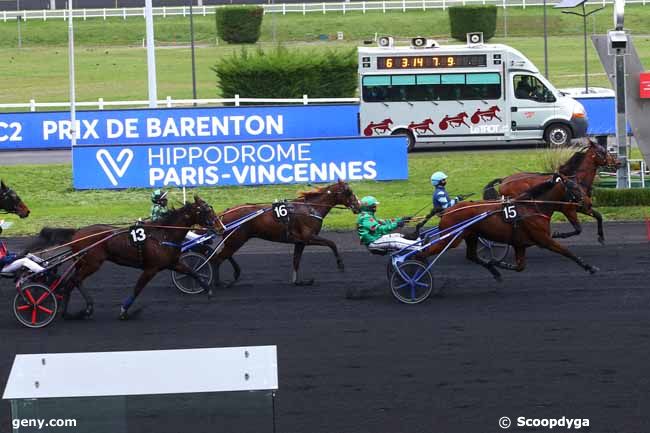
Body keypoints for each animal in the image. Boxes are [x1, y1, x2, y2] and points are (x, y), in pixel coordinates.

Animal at [31, 196, 218, 318]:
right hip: (92, 263)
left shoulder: (172, 262)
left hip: (82, 262)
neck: (164, 234)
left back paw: (83, 308)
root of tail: (77, 233)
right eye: (207, 211)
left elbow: (192, 271)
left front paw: (208, 290)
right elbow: (137, 288)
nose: (218, 226)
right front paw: (124, 310)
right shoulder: (151, 269)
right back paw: (66, 312)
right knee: (73, 281)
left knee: (72, 282)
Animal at [210, 180, 360, 286]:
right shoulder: (308, 238)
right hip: (236, 240)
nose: (358, 205)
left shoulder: (300, 242)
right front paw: (340, 265)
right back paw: (219, 283)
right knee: (217, 259)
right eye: (348, 191)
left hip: (233, 240)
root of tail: (225, 213)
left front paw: (298, 281)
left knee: (221, 255)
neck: (311, 208)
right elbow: (332, 243)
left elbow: (296, 261)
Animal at [418, 175, 596, 280]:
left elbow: (520, 267)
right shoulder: (544, 239)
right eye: (575, 188)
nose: (589, 203)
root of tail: (446, 211)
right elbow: (567, 252)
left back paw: (495, 272)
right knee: (424, 251)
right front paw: (590, 267)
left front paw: (497, 264)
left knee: (471, 255)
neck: (532, 208)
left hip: (470, 235)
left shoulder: (520, 244)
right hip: (451, 237)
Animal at [480, 140, 616, 245]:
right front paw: (557, 235)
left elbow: (598, 216)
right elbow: (578, 229)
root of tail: (504, 180)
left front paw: (601, 237)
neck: (575, 179)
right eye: (602, 151)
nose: (617, 162)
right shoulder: (568, 209)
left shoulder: (582, 206)